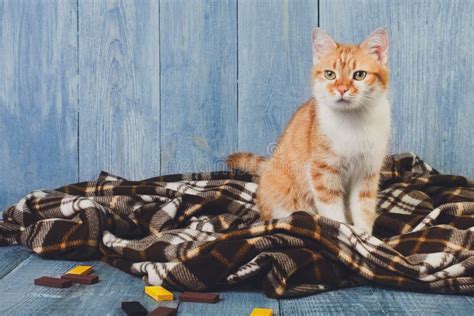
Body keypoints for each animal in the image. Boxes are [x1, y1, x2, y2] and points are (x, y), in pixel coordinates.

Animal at [228, 27, 390, 232]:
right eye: (330, 74)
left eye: (359, 75)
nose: (342, 89)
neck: (353, 121)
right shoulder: (323, 171)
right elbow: (332, 209)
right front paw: (343, 231)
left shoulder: (367, 172)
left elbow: (364, 208)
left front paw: (364, 235)